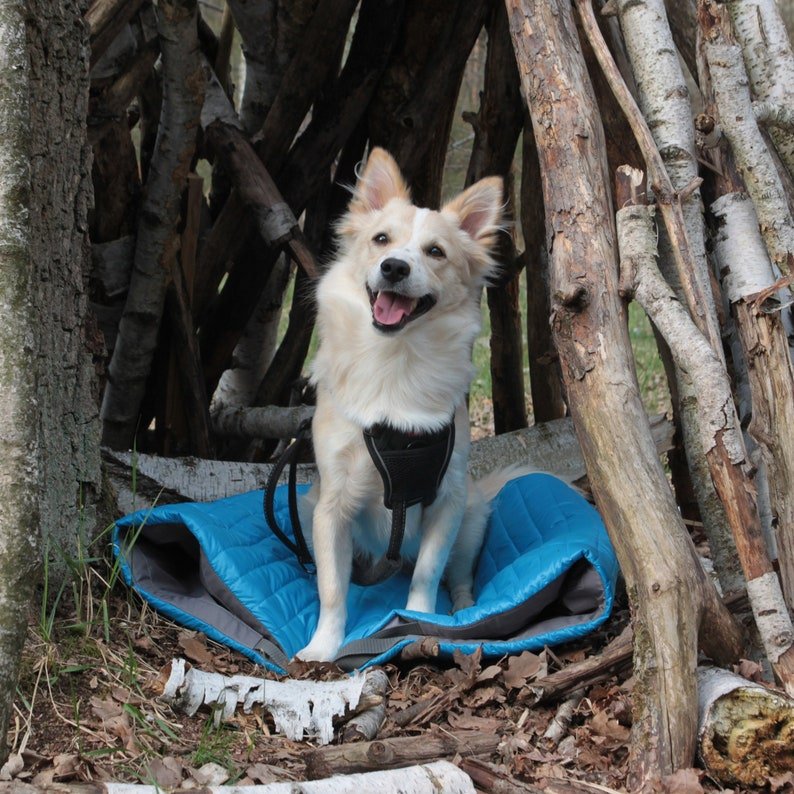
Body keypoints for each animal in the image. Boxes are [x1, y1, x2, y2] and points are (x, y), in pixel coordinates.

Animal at [296, 145, 508, 660]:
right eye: (381, 240)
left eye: (436, 252)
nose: (394, 266)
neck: (396, 360)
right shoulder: (330, 509)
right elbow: (332, 589)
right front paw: (323, 647)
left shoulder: (447, 501)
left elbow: (429, 571)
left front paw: (420, 621)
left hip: (472, 518)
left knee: (458, 575)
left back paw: (463, 608)